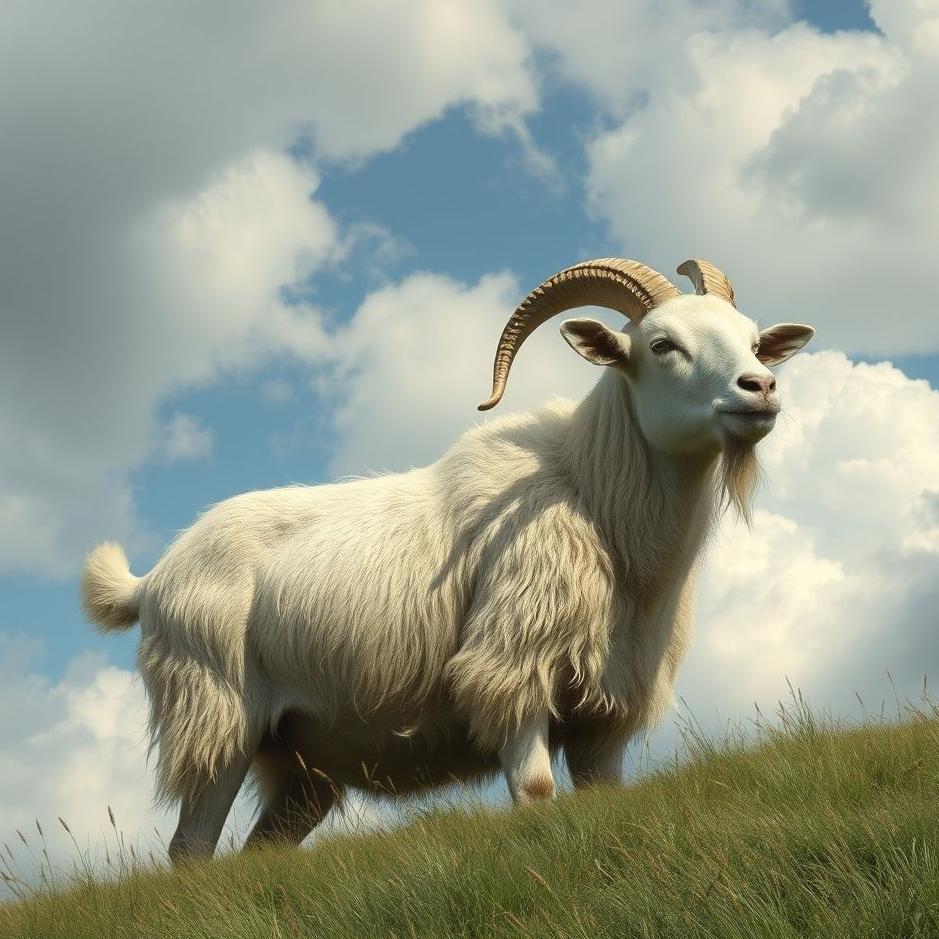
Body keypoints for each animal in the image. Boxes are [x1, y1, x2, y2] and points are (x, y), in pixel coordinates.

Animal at [82, 257, 814, 862]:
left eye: (753, 341)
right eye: (661, 345)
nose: (760, 388)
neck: (597, 498)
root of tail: (151, 580)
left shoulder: (603, 715)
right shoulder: (510, 672)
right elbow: (536, 793)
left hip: (299, 760)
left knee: (259, 850)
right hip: (216, 718)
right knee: (190, 848)